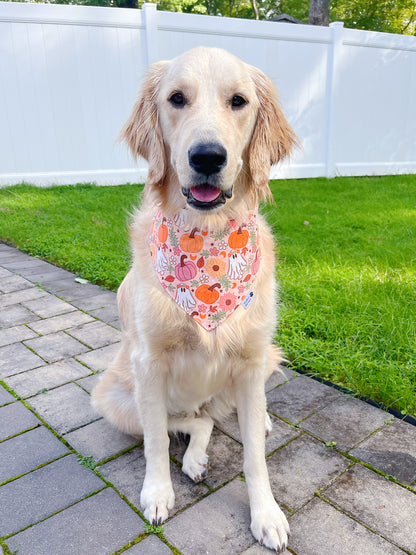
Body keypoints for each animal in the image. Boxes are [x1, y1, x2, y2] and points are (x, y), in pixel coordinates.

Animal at [92, 46, 298, 552]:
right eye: (176, 98)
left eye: (239, 101)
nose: (207, 156)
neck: (207, 241)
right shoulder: (148, 364)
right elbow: (155, 442)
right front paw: (157, 493)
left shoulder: (250, 359)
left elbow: (255, 457)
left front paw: (266, 514)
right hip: (116, 400)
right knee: (192, 423)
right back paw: (194, 458)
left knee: (231, 415)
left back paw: (257, 422)